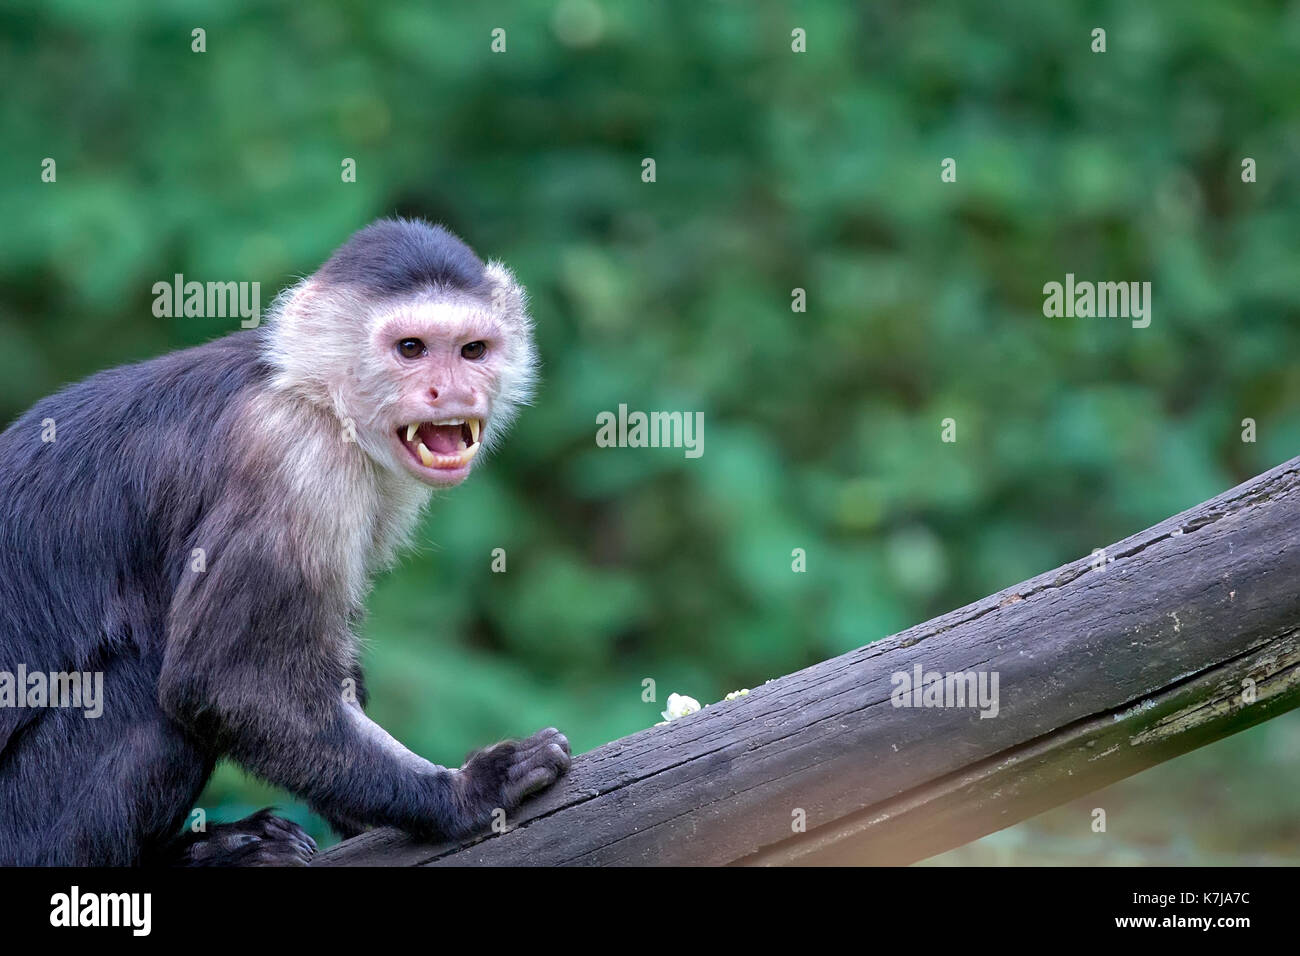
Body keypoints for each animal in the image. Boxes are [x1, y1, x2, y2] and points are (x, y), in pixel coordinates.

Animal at [0, 218, 569, 868]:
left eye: (472, 351)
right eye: (411, 349)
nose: (449, 390)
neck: (312, 393)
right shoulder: (294, 455)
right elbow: (224, 684)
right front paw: (466, 795)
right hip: (26, 827)